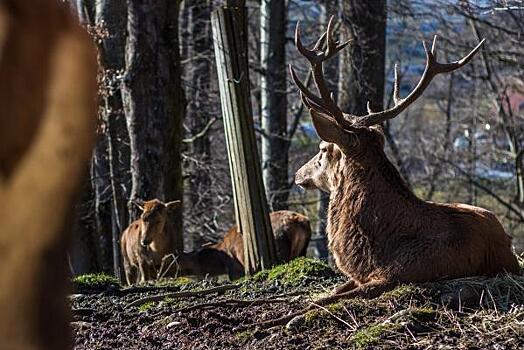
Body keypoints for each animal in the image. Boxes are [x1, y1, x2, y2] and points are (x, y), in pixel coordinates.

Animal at [290, 17, 520, 302]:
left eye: (323, 149)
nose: (298, 173)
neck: (375, 254)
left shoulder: (398, 275)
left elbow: (325, 299)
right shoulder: (359, 277)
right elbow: (333, 290)